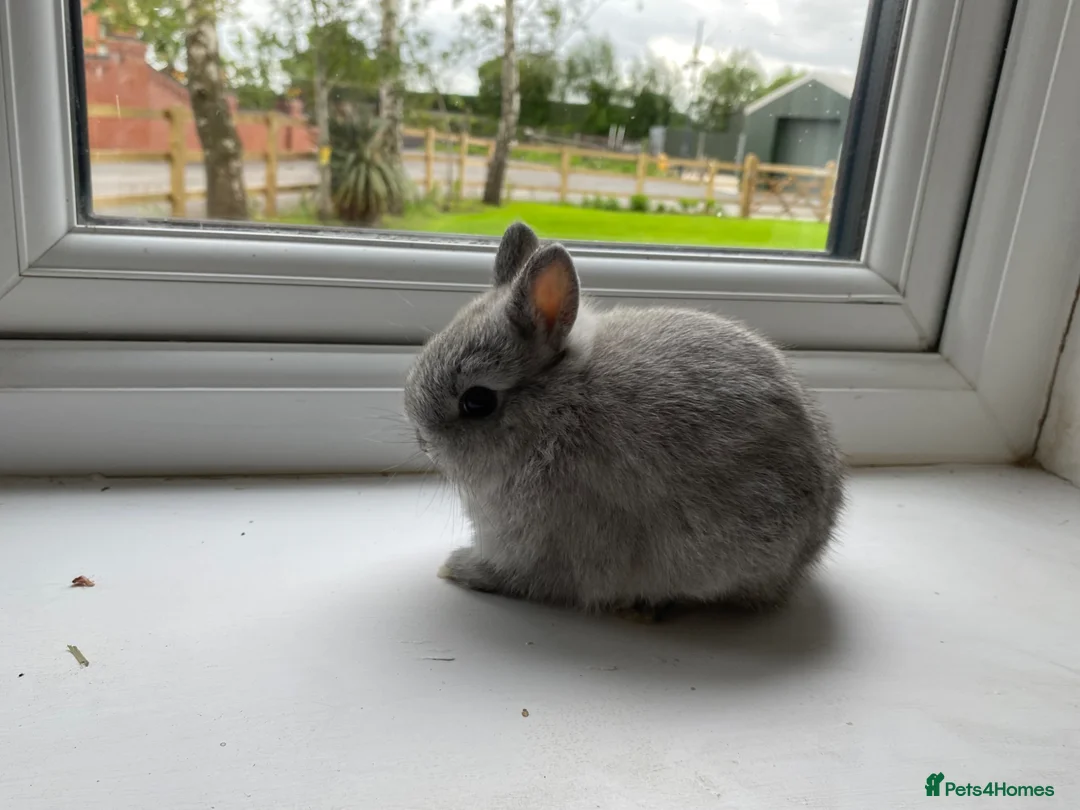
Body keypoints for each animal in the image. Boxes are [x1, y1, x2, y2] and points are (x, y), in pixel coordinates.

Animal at [404, 222, 845, 618]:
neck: (554, 410)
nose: (423, 442)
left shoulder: (531, 545)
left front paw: (457, 568)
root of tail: (804, 557)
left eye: (477, 402)